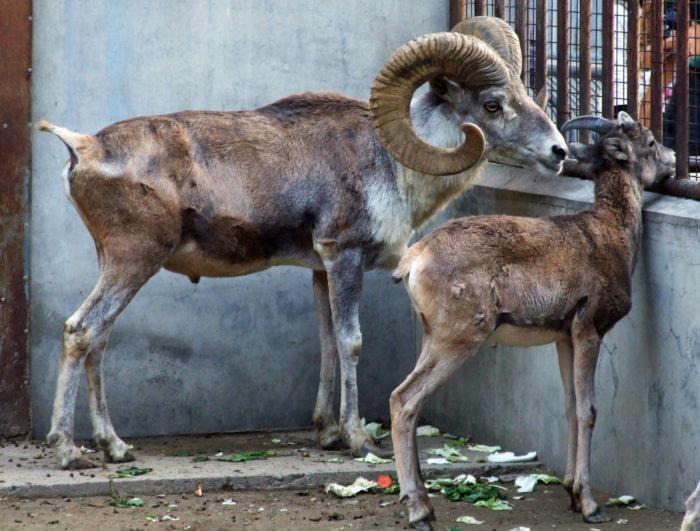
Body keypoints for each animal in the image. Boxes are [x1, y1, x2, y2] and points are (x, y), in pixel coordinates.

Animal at [392, 110, 676, 528]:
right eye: (651, 142)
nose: (672, 159)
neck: (611, 235)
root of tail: (414, 260)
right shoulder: (589, 330)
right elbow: (588, 410)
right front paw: (590, 505)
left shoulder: (563, 338)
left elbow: (570, 407)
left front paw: (571, 493)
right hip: (457, 338)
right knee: (404, 400)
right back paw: (419, 513)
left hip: (432, 336)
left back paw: (425, 504)